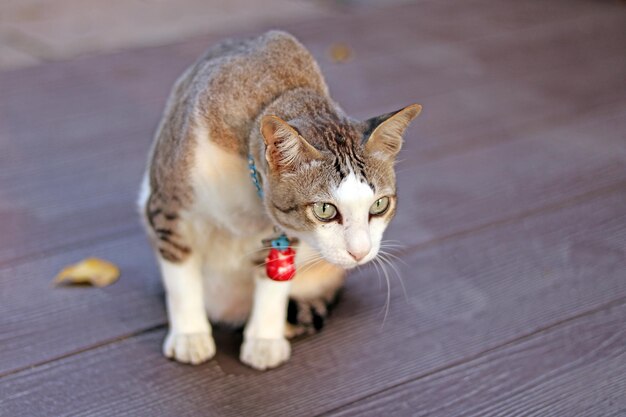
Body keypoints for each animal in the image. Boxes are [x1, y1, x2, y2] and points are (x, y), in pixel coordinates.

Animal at [137, 30, 420, 370]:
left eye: (379, 205)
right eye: (325, 210)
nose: (360, 253)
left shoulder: (285, 233)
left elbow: (273, 281)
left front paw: (264, 340)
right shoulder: (168, 209)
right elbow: (181, 279)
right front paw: (190, 336)